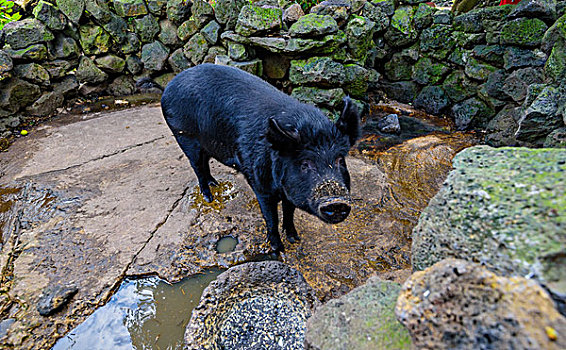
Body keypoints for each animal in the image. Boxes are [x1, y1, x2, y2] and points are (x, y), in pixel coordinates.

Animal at [162, 64, 362, 253]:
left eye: (339, 160)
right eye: (305, 164)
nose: (336, 202)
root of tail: (170, 85)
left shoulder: (289, 190)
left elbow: (289, 212)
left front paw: (294, 238)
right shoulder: (260, 186)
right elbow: (271, 218)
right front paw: (278, 249)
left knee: (205, 163)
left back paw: (215, 183)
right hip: (184, 136)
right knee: (197, 166)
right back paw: (209, 197)